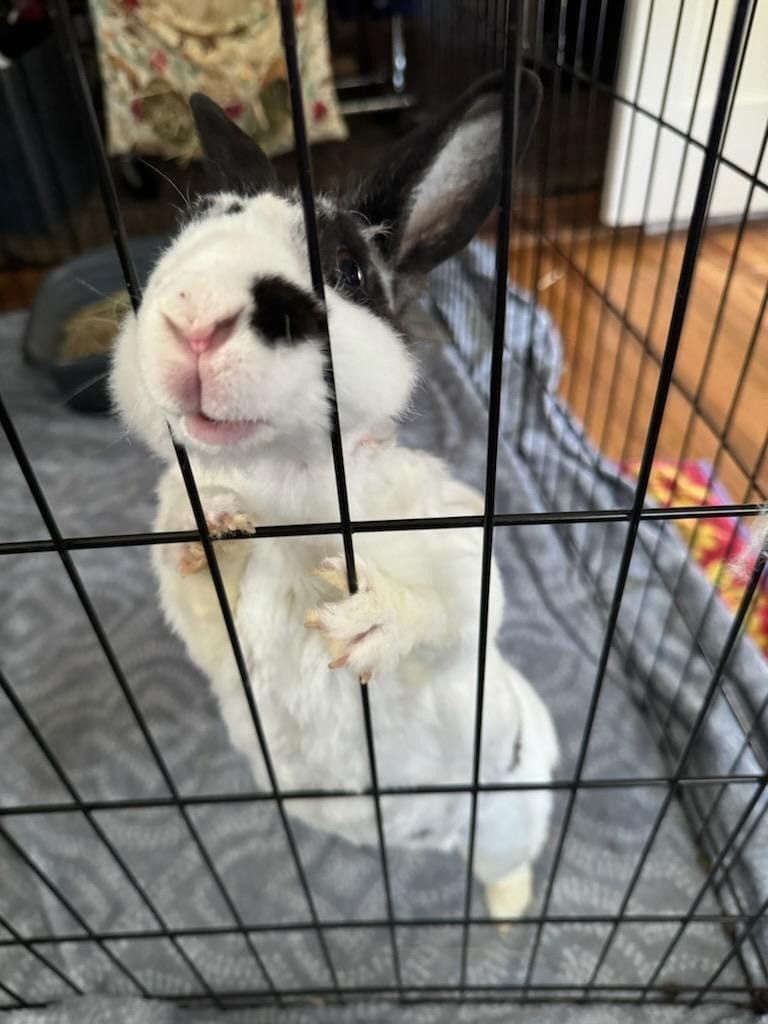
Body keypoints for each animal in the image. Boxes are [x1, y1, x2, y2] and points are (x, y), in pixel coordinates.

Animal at [111, 71, 559, 920]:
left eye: (348, 269)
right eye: (185, 235)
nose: (195, 318)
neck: (296, 491)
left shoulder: (460, 555)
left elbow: (450, 610)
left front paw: (365, 620)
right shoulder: (209, 632)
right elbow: (199, 585)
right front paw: (210, 520)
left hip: (505, 817)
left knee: (508, 863)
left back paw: (507, 915)